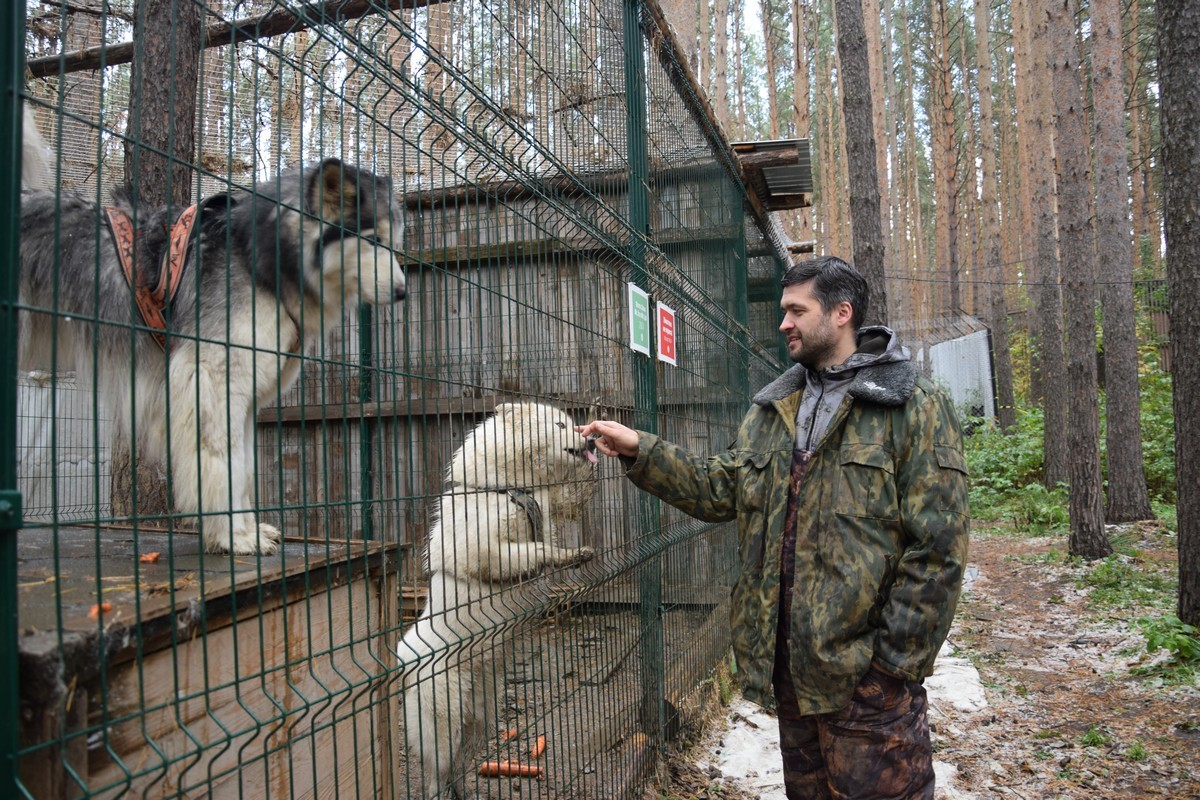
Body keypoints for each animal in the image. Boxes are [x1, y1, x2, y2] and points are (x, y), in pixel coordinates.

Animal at [396, 402, 597, 796]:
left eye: (574, 424)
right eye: (559, 424)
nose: (592, 438)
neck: (508, 486)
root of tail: (406, 655)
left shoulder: (549, 510)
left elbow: (565, 513)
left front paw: (575, 553)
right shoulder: (486, 551)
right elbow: (536, 551)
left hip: (481, 719)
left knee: (458, 767)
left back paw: (465, 793)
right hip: (444, 723)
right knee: (435, 774)